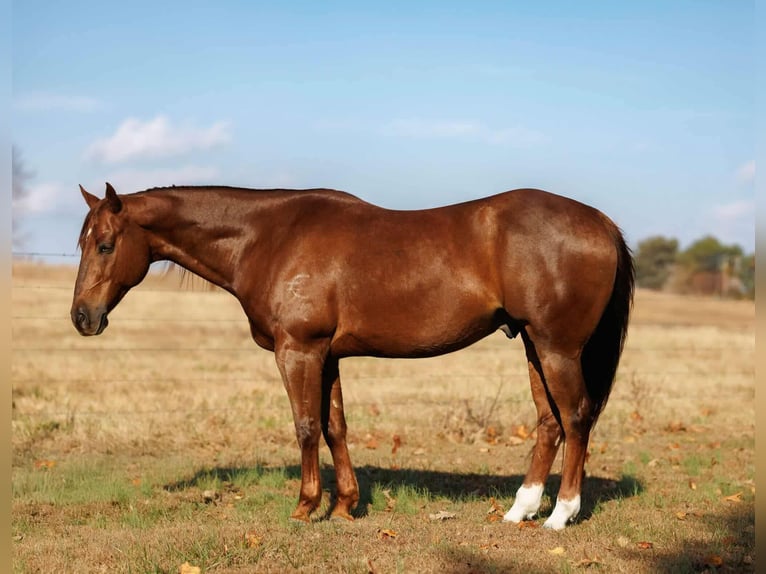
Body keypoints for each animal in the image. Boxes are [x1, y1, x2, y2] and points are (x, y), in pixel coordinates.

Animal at [71, 182, 633, 530]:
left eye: (105, 244)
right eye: (82, 242)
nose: (82, 317)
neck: (269, 237)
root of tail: (601, 221)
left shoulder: (298, 351)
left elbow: (305, 426)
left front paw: (305, 507)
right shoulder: (328, 355)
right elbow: (335, 425)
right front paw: (344, 506)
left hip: (558, 348)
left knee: (576, 418)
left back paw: (561, 515)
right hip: (535, 347)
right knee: (549, 422)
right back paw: (521, 510)